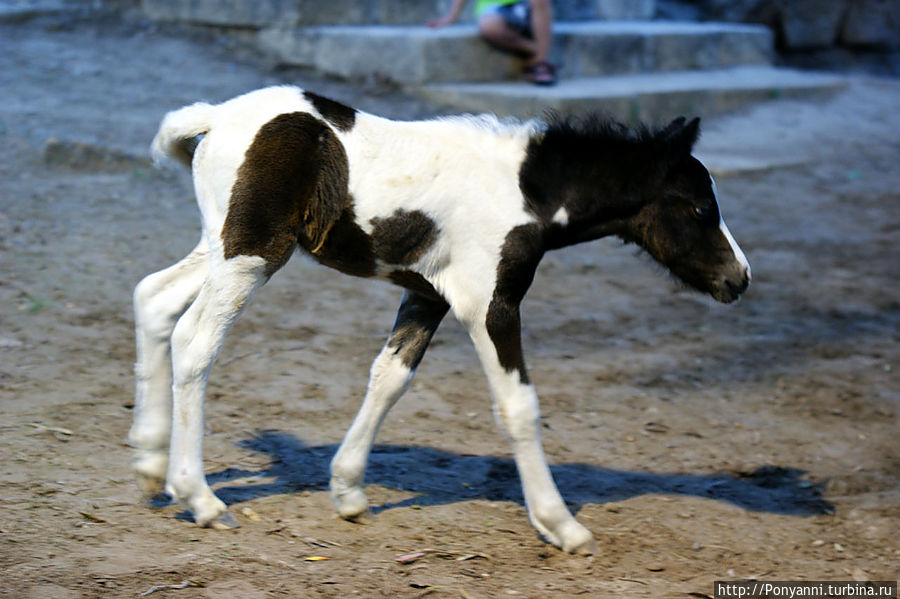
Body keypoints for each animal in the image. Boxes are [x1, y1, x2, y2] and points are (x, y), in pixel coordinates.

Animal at [132, 84, 752, 552]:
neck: (526, 192)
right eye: (702, 207)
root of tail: (215, 116)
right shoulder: (489, 305)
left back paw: (150, 463)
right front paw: (561, 524)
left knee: (153, 298)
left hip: (221, 245)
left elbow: (390, 378)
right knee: (195, 341)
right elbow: (518, 406)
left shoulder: (428, 298)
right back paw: (199, 497)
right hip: (253, 252)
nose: (740, 278)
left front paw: (349, 491)